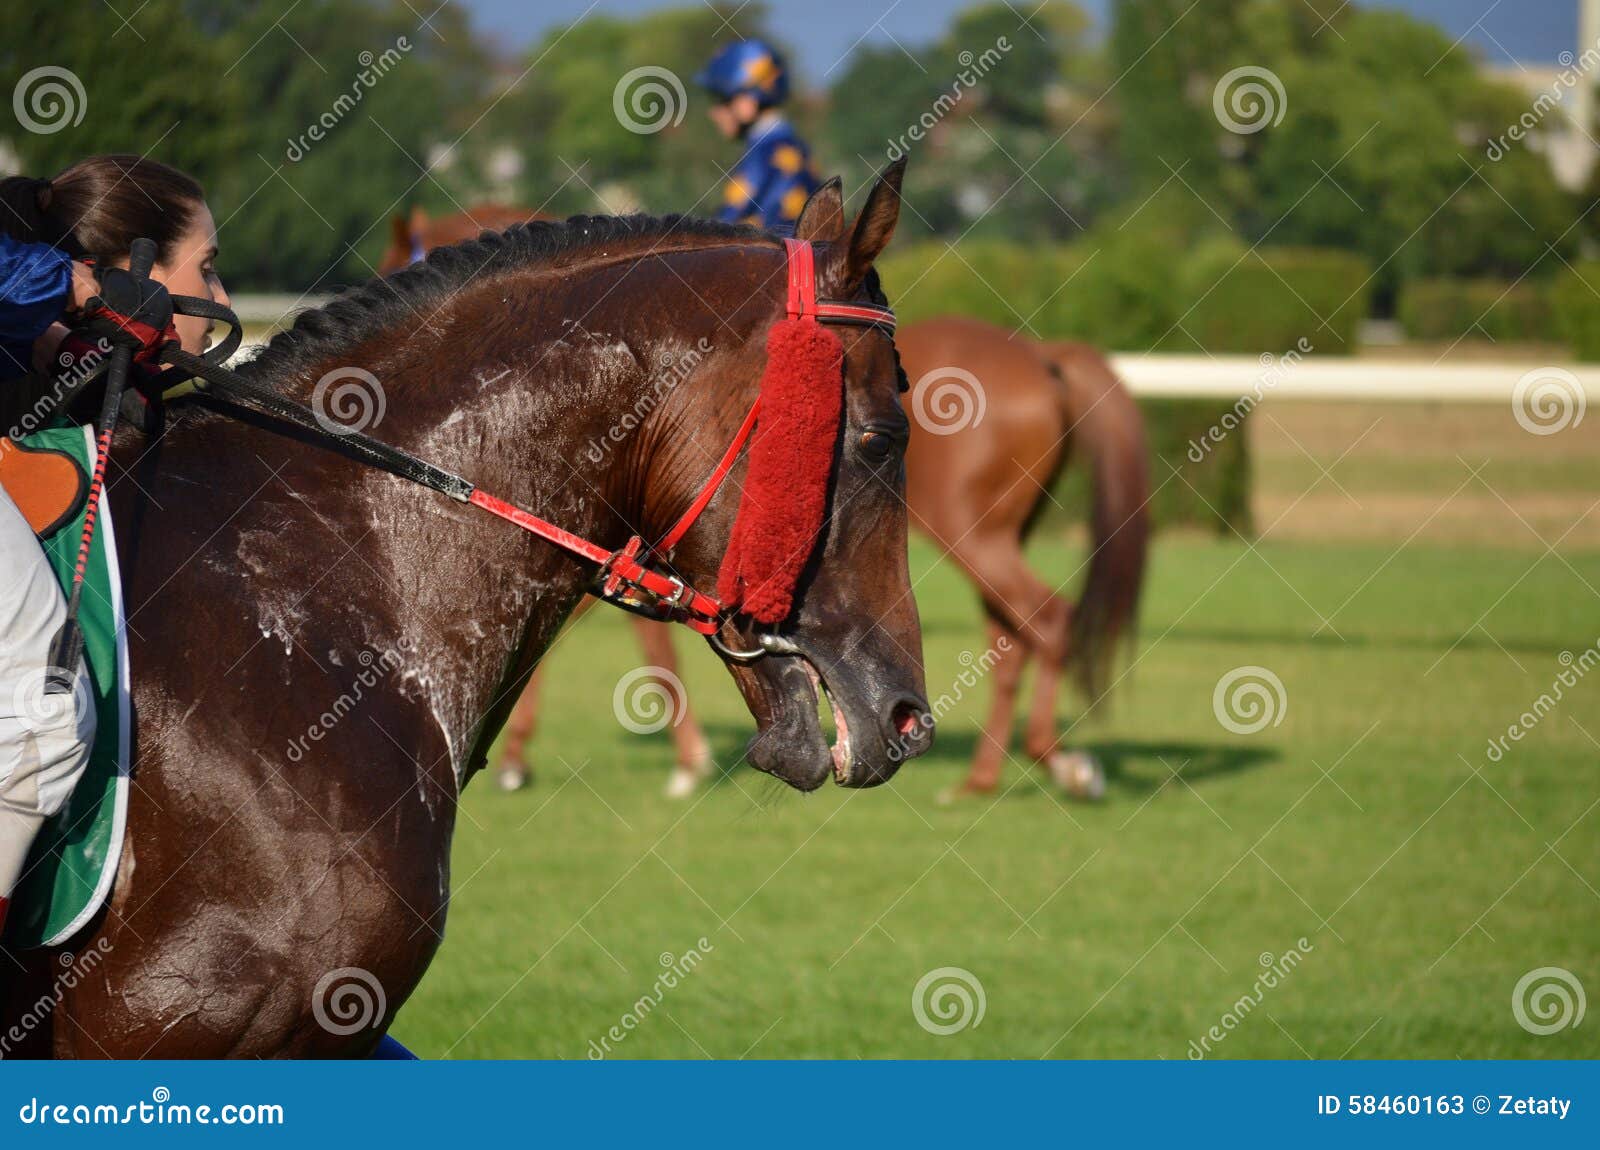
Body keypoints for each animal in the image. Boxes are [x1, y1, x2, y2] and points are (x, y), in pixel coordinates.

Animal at [494, 312, 1149, 800]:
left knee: (1046, 620)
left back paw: (1052, 764)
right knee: (1012, 635)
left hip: (975, 533)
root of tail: (1041, 355)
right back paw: (988, 776)